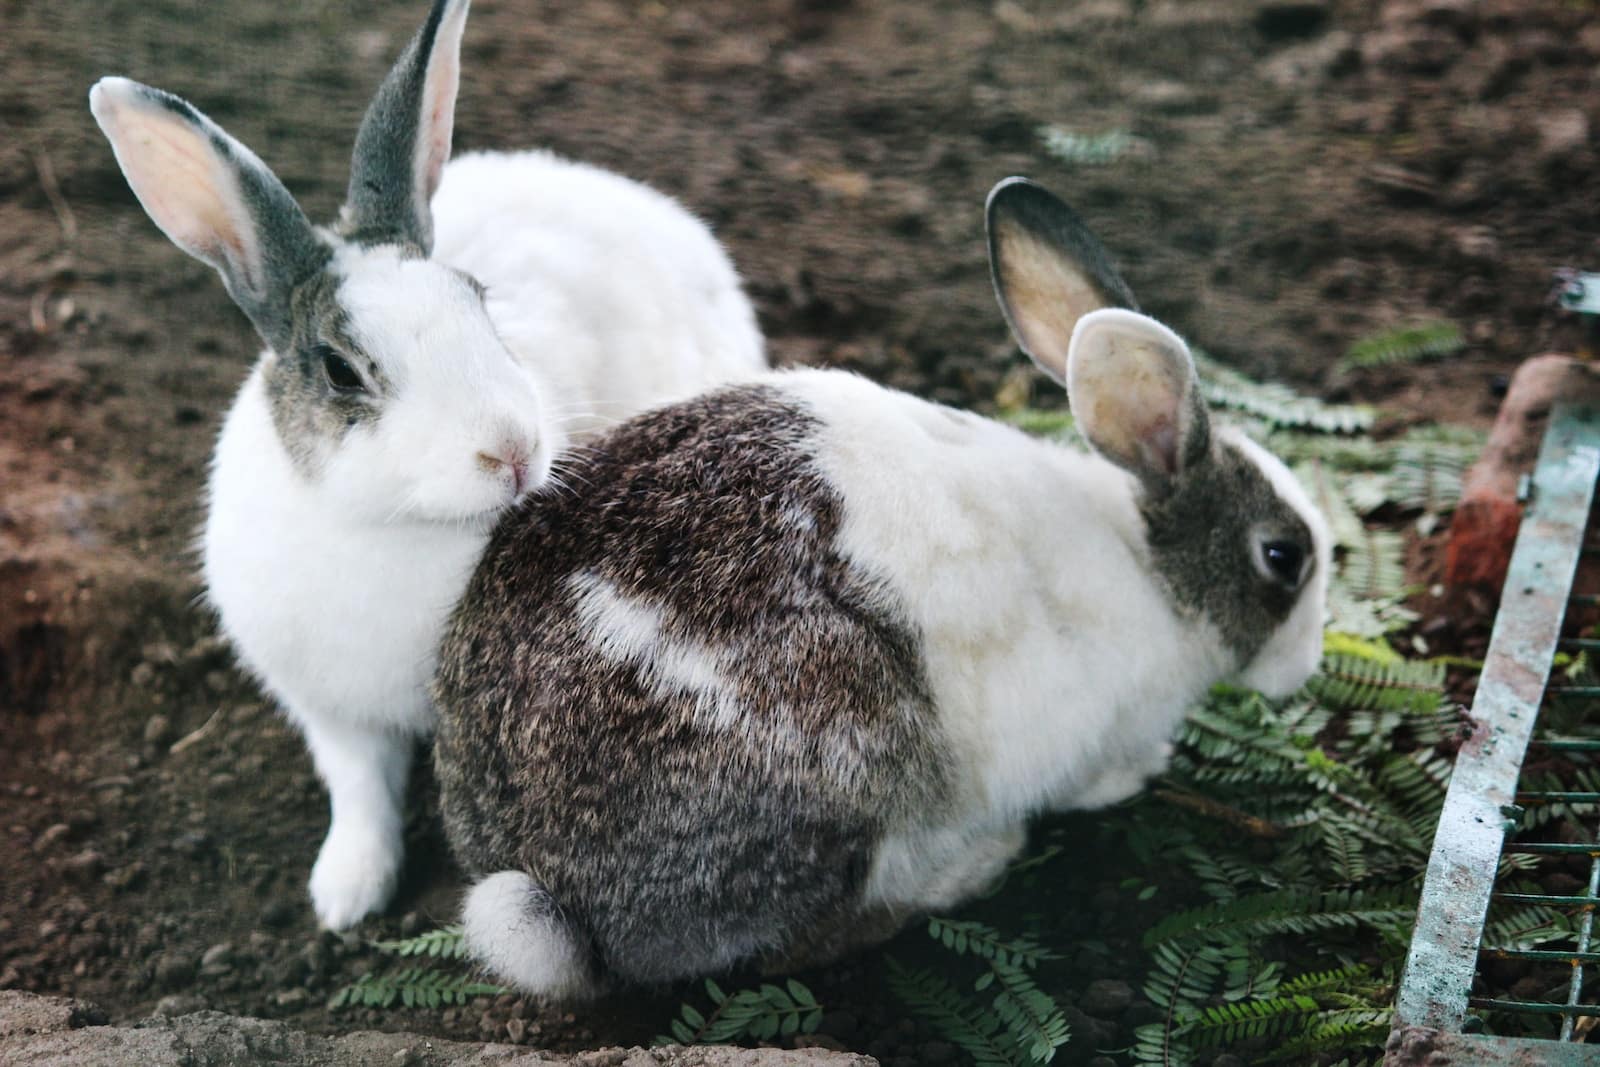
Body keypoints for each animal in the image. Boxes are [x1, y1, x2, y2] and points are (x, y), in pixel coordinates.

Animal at [88, 0, 765, 931]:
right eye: (342, 370)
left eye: (480, 303)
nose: (512, 450)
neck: (394, 525)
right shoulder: (331, 709)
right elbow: (359, 790)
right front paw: (346, 894)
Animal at [429, 176, 1332, 998]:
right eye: (1283, 556)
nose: (1306, 665)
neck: (1152, 566)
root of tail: (546, 883)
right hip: (849, 765)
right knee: (797, 941)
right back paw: (971, 865)